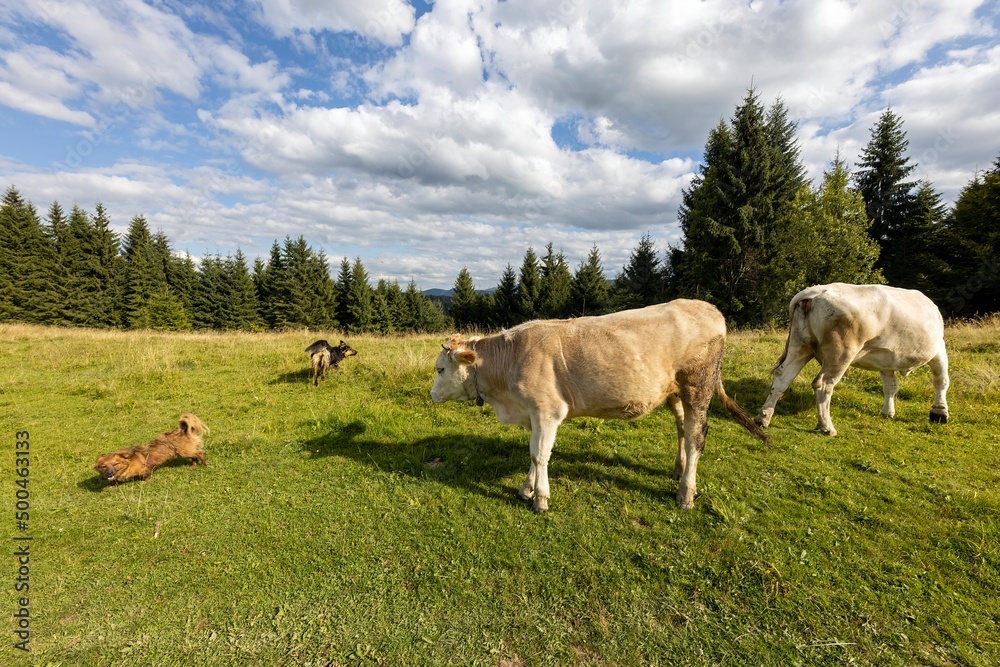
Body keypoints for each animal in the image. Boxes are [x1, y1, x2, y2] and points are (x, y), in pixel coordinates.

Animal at [428, 300, 764, 516]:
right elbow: (533, 453)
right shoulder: (533, 414)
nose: (431, 396)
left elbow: (540, 455)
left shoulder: (548, 411)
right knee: (682, 428)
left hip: (699, 385)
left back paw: (685, 493)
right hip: (675, 391)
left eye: (441, 369)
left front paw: (541, 499)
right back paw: (678, 470)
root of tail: (709, 308)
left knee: (696, 437)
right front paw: (526, 489)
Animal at [756, 284, 952, 436]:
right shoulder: (939, 348)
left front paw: (888, 412)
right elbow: (941, 381)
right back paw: (826, 427)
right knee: (823, 384)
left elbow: (891, 386)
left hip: (800, 346)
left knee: (782, 377)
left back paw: (763, 417)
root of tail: (815, 292)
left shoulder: (886, 360)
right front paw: (939, 412)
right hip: (840, 353)